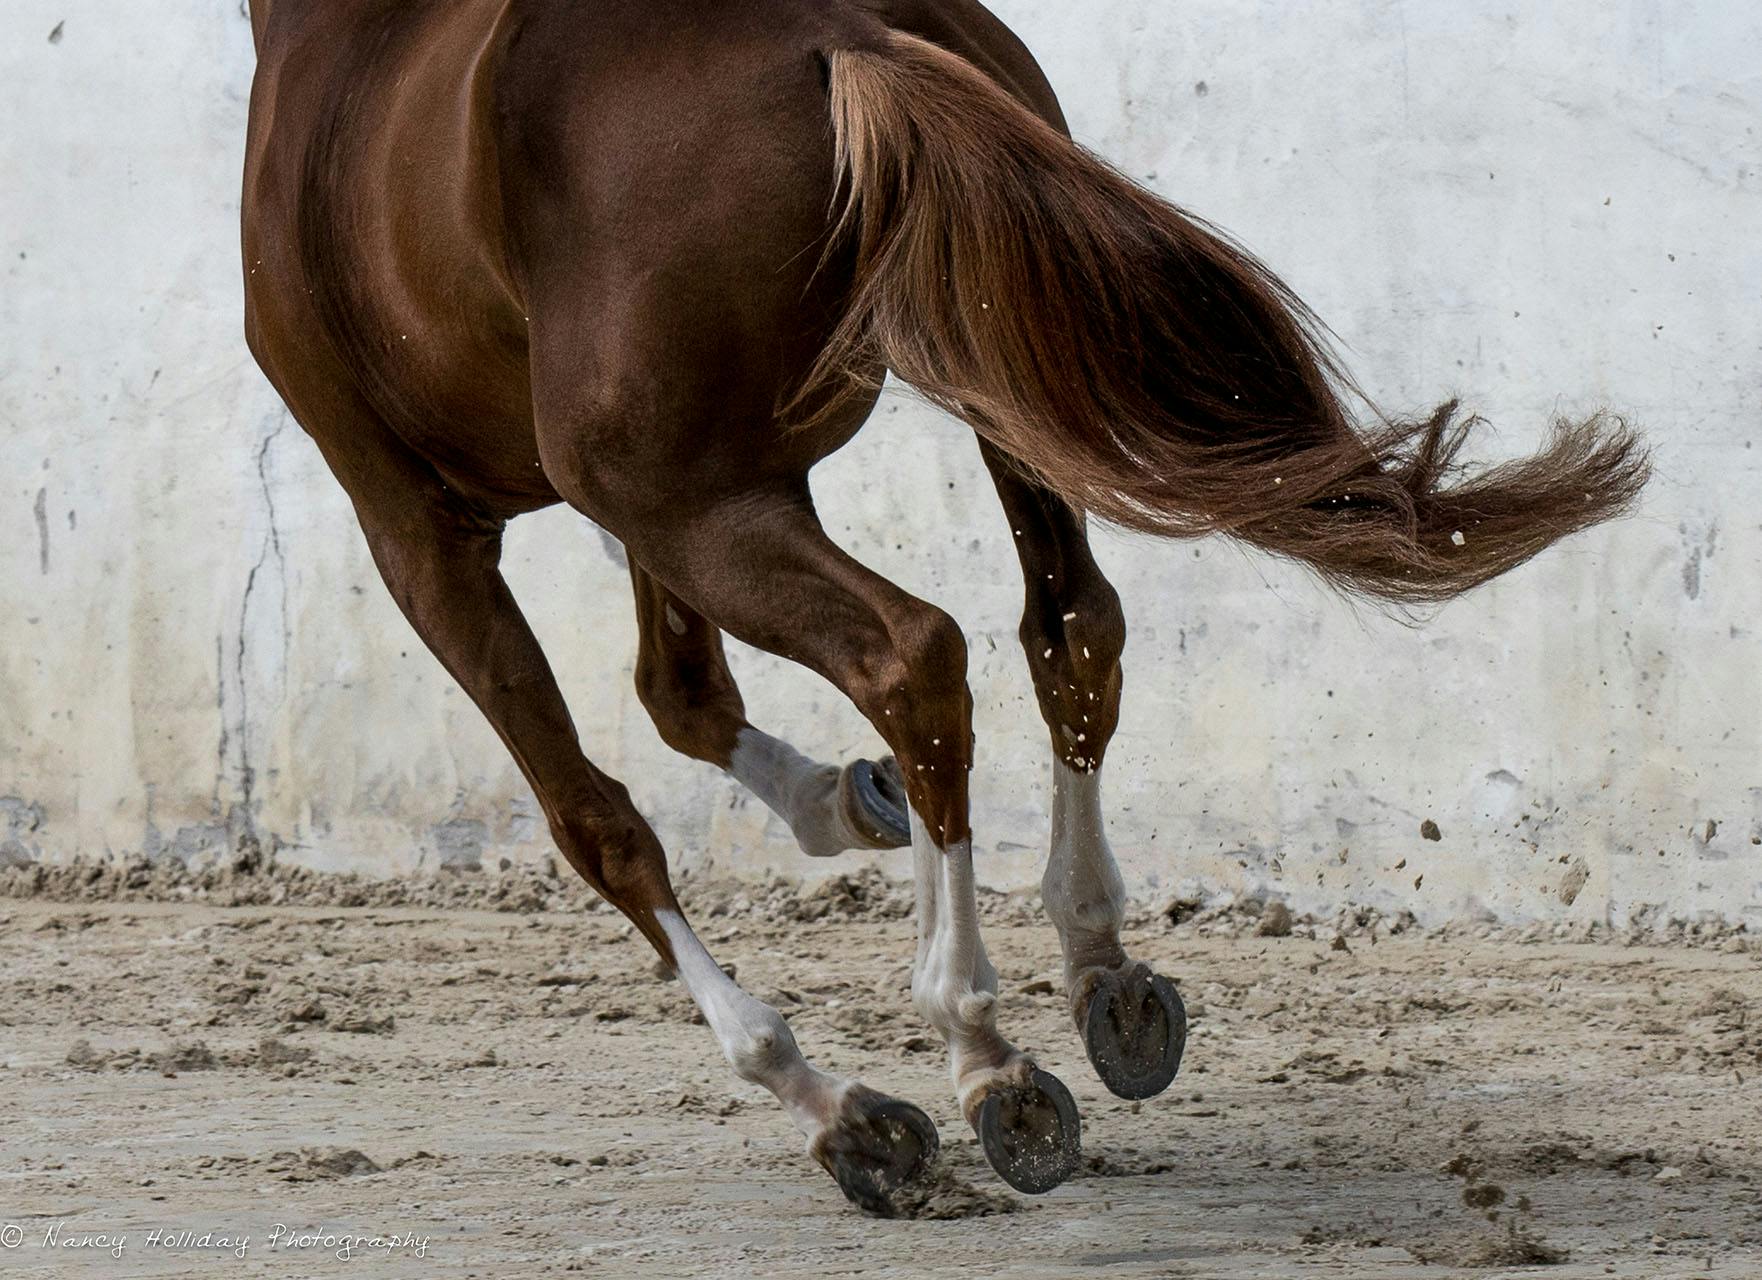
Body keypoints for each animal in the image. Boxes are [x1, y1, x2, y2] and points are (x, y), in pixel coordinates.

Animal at [241, 0, 1642, 1213]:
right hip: (973, 376)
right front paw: (846, 802)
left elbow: (598, 820)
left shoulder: (423, 531)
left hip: (688, 490)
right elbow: (682, 693)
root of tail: (828, 33)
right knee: (1066, 628)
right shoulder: (657, 505)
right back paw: (1100, 972)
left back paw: (980, 1047)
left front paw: (835, 1105)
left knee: (910, 653)